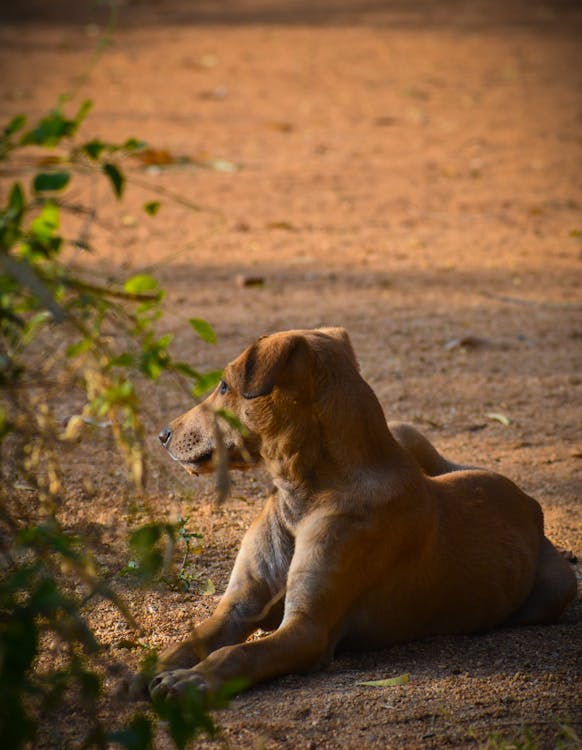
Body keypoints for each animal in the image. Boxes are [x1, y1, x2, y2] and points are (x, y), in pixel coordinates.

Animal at [149, 326, 576, 704]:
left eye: (224, 386)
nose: (162, 434)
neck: (302, 496)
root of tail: (529, 502)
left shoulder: (307, 629)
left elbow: (237, 653)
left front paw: (193, 681)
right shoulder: (239, 605)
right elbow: (189, 641)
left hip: (556, 589)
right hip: (408, 433)